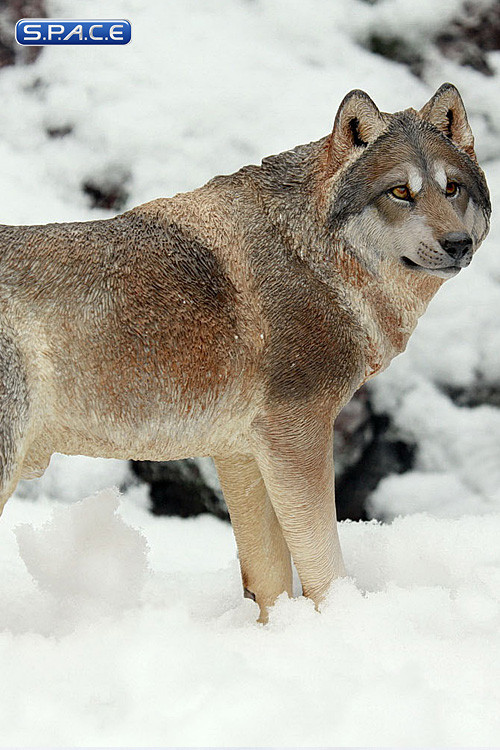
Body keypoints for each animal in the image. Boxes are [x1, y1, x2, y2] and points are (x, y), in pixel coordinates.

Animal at [0, 83, 490, 620]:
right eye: (401, 192)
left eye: (452, 188)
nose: (458, 244)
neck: (312, 258)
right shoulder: (296, 435)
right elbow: (324, 566)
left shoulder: (240, 454)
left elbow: (270, 581)